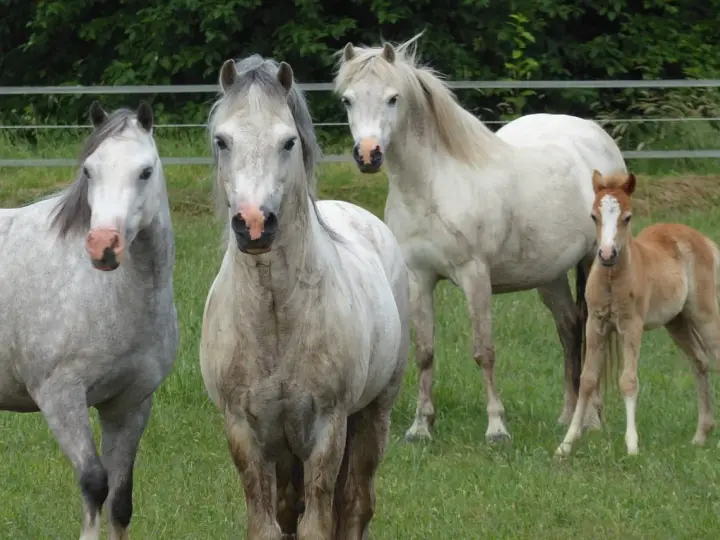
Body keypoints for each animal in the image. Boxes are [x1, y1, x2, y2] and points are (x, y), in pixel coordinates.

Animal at [0, 101, 177, 539]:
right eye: (89, 171)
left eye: (145, 171)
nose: (103, 247)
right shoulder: (60, 398)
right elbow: (94, 482)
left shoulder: (130, 404)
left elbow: (120, 497)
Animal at [199, 55, 410, 540]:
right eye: (222, 140)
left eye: (288, 141)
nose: (254, 225)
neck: (275, 315)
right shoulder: (245, 433)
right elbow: (268, 523)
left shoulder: (326, 429)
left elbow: (320, 520)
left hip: (373, 414)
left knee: (356, 503)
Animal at [334, 32, 628, 442]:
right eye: (348, 99)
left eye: (393, 98)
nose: (368, 155)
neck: (434, 185)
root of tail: (597, 138)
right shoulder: (418, 277)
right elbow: (425, 352)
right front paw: (421, 426)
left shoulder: (475, 276)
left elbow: (483, 350)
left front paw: (496, 427)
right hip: (550, 274)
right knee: (569, 328)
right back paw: (567, 415)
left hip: (594, 261)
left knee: (592, 329)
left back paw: (592, 420)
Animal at [556, 170, 720, 456]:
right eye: (593, 216)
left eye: (628, 217)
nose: (606, 254)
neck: (612, 279)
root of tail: (703, 240)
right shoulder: (595, 324)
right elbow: (587, 379)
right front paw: (566, 444)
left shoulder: (631, 326)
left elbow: (628, 381)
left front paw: (632, 445)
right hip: (676, 321)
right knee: (700, 361)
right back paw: (701, 435)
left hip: (705, 315)